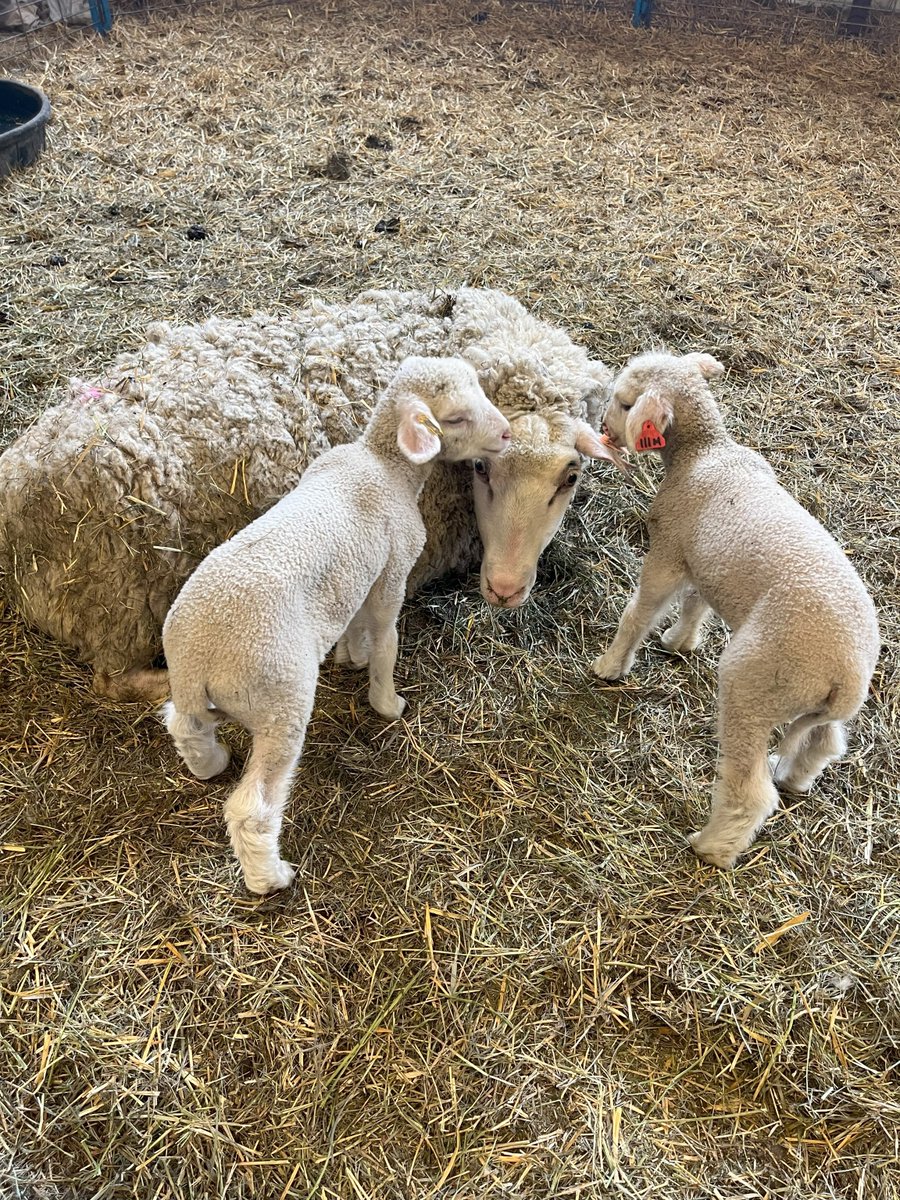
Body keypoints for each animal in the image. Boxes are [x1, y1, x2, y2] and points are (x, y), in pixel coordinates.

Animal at [160, 355, 511, 892]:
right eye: (453, 418)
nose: (509, 433)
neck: (384, 463)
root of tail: (202, 661)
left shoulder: (355, 573)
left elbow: (353, 618)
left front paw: (351, 654)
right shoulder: (394, 565)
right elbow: (386, 632)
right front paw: (387, 701)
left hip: (193, 692)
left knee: (184, 727)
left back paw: (209, 765)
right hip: (280, 701)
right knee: (252, 808)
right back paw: (270, 876)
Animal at [592, 350, 883, 868]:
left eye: (625, 402)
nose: (604, 427)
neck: (705, 450)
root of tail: (847, 679)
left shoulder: (669, 550)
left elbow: (641, 611)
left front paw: (611, 665)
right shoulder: (704, 558)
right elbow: (696, 602)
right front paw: (680, 642)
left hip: (752, 686)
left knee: (751, 790)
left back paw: (713, 847)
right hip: (816, 707)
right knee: (824, 743)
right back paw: (795, 776)